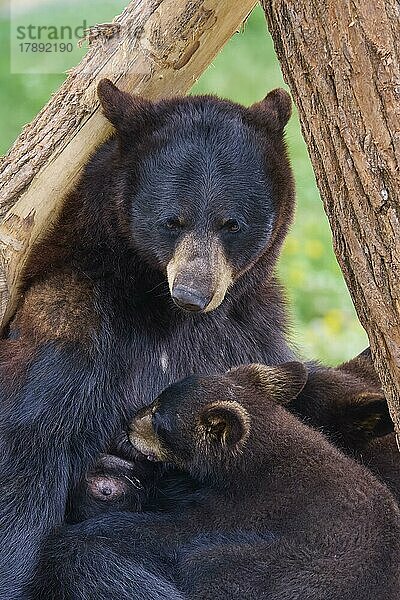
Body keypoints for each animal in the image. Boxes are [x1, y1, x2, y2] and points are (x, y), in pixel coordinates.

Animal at [0, 81, 296, 600]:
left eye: (231, 223)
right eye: (171, 220)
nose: (194, 292)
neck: (168, 314)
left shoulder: (252, 333)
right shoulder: (71, 326)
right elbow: (26, 459)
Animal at [30, 360, 400, 600]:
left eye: (158, 419)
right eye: (155, 401)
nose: (128, 422)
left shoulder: (248, 505)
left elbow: (177, 528)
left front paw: (90, 530)